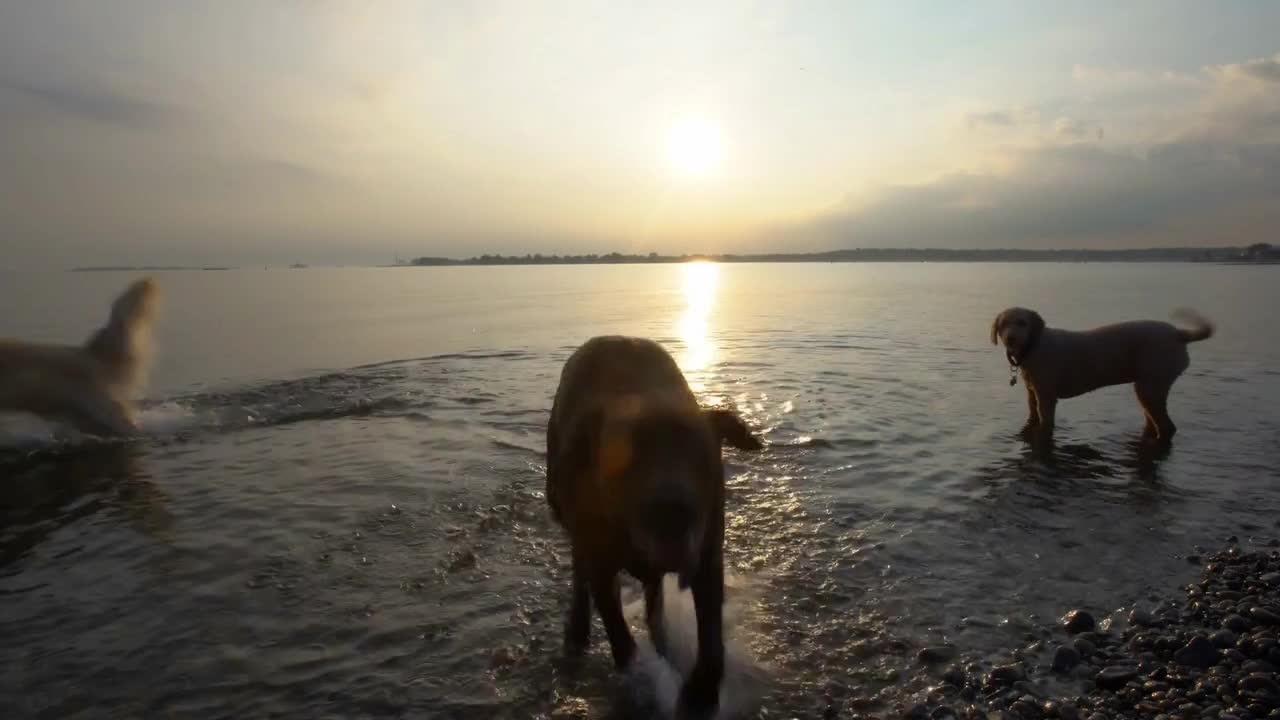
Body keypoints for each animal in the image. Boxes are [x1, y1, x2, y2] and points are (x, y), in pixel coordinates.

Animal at [547, 333, 762, 712]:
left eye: (701, 456)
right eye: (625, 459)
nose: (672, 514)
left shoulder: (707, 554)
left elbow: (710, 636)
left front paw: (700, 694)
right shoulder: (599, 559)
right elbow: (620, 636)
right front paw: (642, 682)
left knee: (654, 603)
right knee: (579, 574)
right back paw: (577, 630)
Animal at [993, 303, 1213, 440]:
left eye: (1022, 322)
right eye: (1002, 325)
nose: (1010, 338)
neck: (1034, 346)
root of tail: (1178, 334)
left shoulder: (1046, 397)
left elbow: (1046, 423)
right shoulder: (1033, 393)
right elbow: (1033, 416)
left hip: (1151, 385)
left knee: (1167, 427)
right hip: (1149, 389)